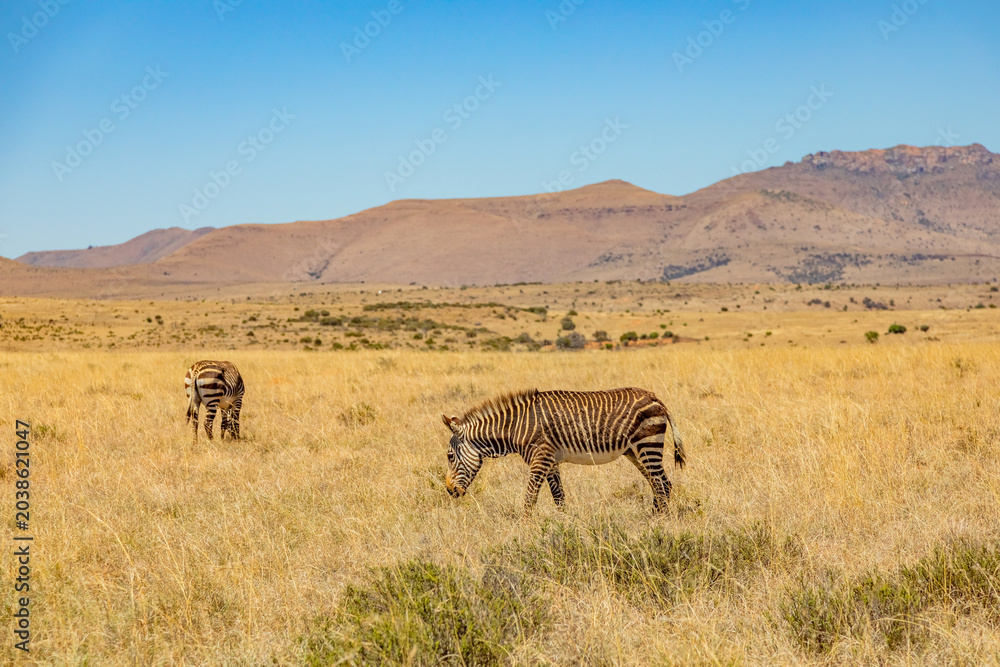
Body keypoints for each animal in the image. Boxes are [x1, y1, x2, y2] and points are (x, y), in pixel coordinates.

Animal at [442, 387, 685, 516]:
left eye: (450, 456)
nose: (449, 491)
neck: (517, 427)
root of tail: (655, 397)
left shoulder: (540, 458)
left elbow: (530, 498)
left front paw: (526, 528)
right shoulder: (551, 461)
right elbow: (558, 496)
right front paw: (564, 525)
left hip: (648, 445)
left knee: (662, 484)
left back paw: (658, 522)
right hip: (635, 452)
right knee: (660, 484)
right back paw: (654, 517)